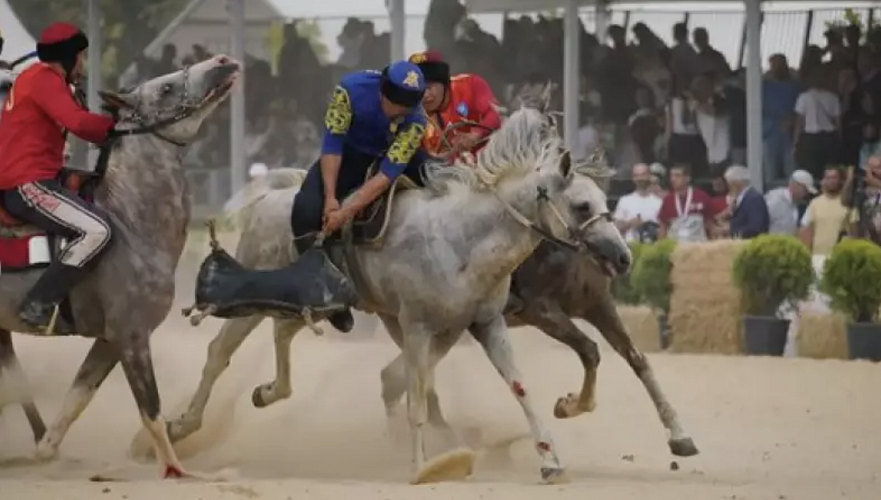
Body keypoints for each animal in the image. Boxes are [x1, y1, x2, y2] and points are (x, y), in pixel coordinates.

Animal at [0, 52, 241, 478]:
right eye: (165, 87)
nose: (222, 61)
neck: (131, 221)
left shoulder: (109, 342)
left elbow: (76, 398)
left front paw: (46, 451)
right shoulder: (132, 336)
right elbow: (151, 409)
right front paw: (175, 470)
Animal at [162, 106, 632, 484]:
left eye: (602, 200)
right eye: (582, 206)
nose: (623, 257)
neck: (461, 238)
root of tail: (270, 196)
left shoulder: (484, 323)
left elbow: (521, 390)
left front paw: (551, 460)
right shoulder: (418, 327)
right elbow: (416, 401)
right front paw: (423, 467)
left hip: (307, 305)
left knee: (282, 335)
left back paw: (267, 391)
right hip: (252, 299)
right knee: (219, 352)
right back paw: (180, 426)